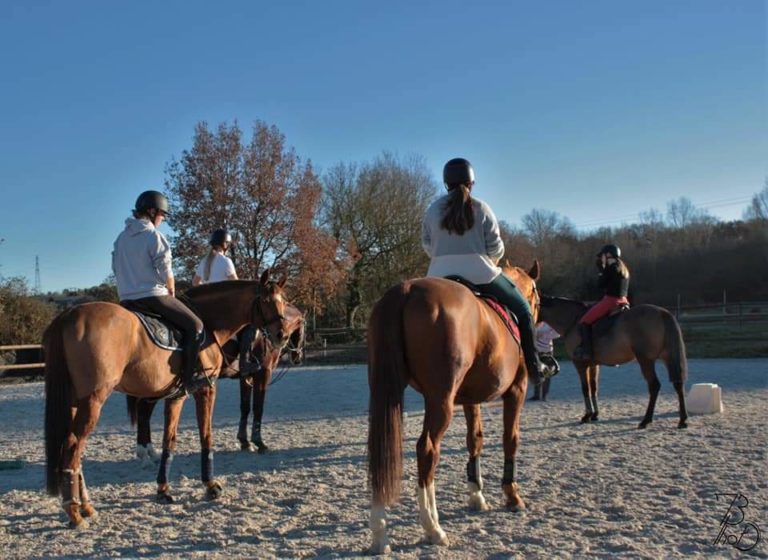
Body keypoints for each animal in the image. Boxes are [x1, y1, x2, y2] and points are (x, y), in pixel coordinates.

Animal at [127, 302, 304, 460]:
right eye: (303, 330)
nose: (298, 357)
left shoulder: (246, 377)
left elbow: (245, 407)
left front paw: (244, 441)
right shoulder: (263, 373)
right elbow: (258, 407)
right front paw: (259, 443)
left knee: (144, 409)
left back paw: (147, 450)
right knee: (144, 409)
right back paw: (146, 450)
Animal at [368, 262, 540, 552]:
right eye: (537, 296)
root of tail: (406, 289)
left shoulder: (470, 398)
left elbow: (475, 440)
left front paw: (477, 496)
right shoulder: (517, 390)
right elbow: (510, 439)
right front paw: (512, 495)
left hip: (386, 391)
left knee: (379, 450)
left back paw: (380, 534)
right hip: (441, 400)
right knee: (427, 450)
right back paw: (433, 527)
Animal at [536, 298, 688, 428]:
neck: (573, 321)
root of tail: (662, 312)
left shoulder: (580, 364)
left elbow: (585, 389)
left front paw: (587, 416)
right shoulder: (594, 365)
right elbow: (594, 388)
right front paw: (595, 415)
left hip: (646, 360)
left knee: (654, 386)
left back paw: (646, 420)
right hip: (668, 357)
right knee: (678, 384)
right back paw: (682, 420)